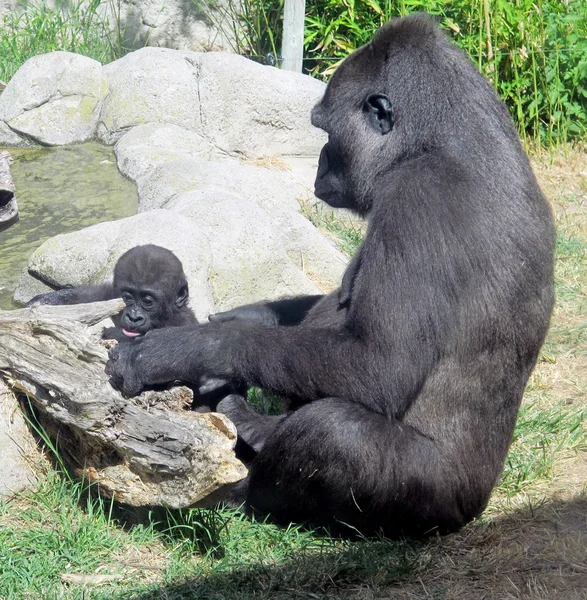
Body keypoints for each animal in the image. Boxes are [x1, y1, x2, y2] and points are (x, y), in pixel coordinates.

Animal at [26, 246, 242, 410]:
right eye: (128, 297)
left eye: (147, 301)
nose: (134, 317)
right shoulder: (111, 295)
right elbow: (90, 299)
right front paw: (44, 301)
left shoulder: (182, 323)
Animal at [107, 15, 556, 540]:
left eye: (326, 130)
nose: (319, 163)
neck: (441, 142)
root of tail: (480, 504)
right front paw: (245, 317)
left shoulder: (418, 199)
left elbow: (378, 367)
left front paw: (189, 348)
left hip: (438, 510)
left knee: (333, 430)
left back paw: (247, 464)